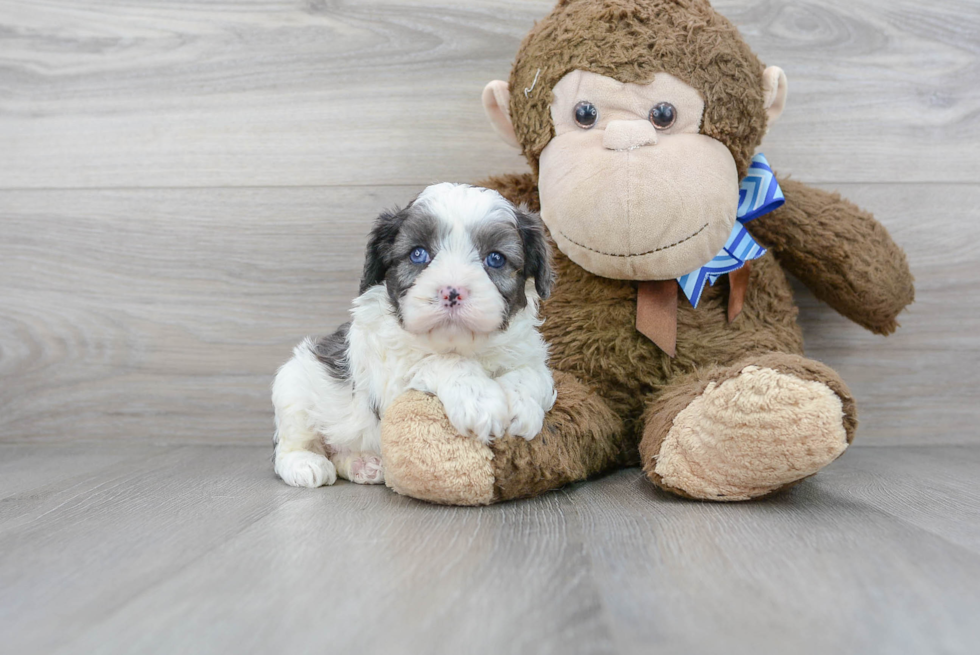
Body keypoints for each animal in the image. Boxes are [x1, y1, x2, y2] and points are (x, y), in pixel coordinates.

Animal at [272, 182, 556, 490]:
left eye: (495, 258)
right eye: (418, 254)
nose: (452, 292)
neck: (460, 345)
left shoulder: (528, 353)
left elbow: (531, 373)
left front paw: (521, 406)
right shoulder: (390, 377)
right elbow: (439, 361)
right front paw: (478, 399)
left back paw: (363, 464)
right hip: (293, 386)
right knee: (290, 445)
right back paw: (305, 463)